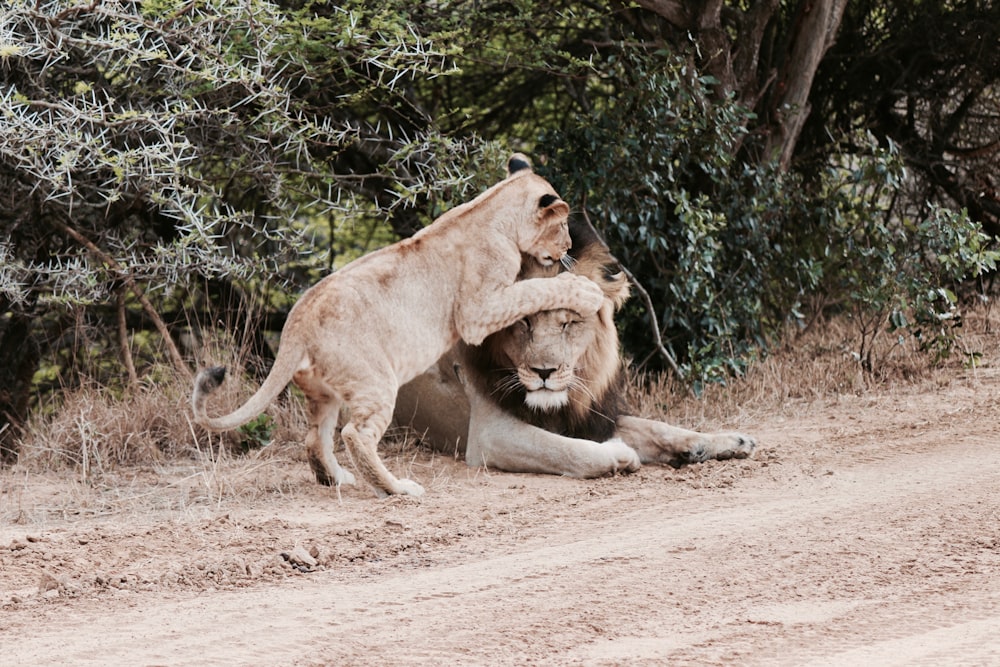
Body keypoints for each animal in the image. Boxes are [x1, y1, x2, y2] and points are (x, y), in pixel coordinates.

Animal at [193, 157, 600, 498]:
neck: (492, 208)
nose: (568, 246)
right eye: (562, 226)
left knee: (315, 438)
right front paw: (585, 291)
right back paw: (396, 488)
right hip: (374, 380)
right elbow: (534, 289)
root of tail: (297, 321)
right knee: (355, 435)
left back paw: (336, 478)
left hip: (325, 393)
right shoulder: (478, 311)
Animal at [394, 215, 752, 474]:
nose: (545, 372)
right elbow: (562, 449)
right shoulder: (488, 435)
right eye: (524, 321)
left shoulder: (593, 415)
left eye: (568, 322)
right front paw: (620, 455)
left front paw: (723, 442)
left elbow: (657, 427)